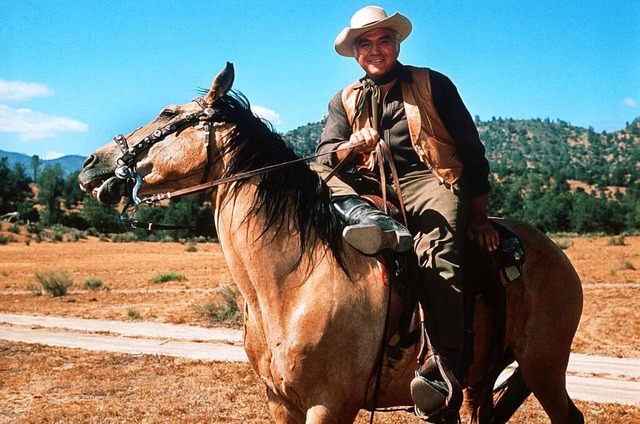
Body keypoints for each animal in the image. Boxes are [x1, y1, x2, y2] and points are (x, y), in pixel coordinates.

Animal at [77, 63, 584, 424]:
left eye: (167, 114)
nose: (90, 164)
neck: (293, 283)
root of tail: (550, 251)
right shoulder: (280, 402)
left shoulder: (330, 405)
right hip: (487, 376)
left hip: (542, 366)